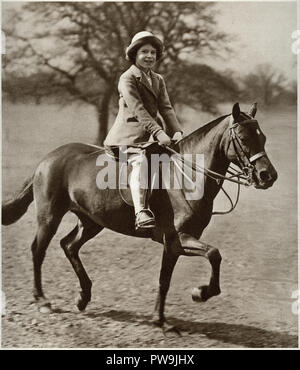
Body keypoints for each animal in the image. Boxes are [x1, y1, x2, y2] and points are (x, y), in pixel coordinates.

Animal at [2, 103, 278, 332]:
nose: (268, 176)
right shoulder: (177, 239)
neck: (188, 176)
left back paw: (83, 297)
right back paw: (42, 300)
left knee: (69, 245)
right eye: (243, 138)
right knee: (38, 250)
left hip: (91, 221)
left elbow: (169, 278)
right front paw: (197, 295)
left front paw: (163, 317)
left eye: (263, 137)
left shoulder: (177, 244)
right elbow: (212, 255)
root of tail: (47, 159)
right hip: (50, 216)